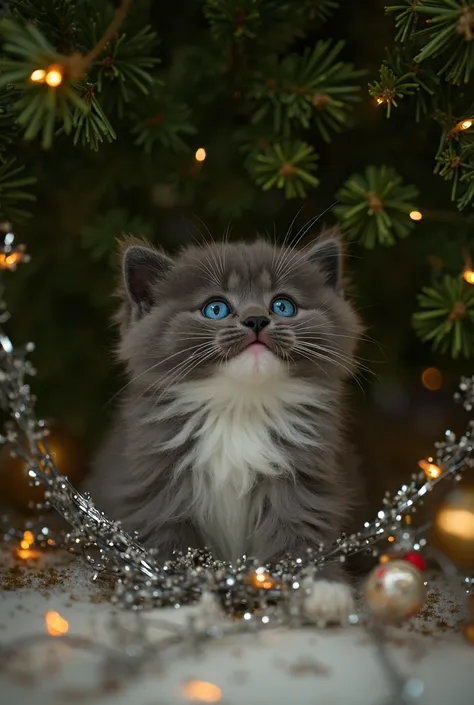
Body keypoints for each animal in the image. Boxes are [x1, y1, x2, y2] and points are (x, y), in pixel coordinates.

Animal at [89, 230, 362, 616]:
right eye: (215, 308)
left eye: (283, 306)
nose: (256, 320)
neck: (239, 410)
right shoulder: (155, 484)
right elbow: (166, 541)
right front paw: (176, 594)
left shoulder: (304, 478)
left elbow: (301, 531)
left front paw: (320, 587)